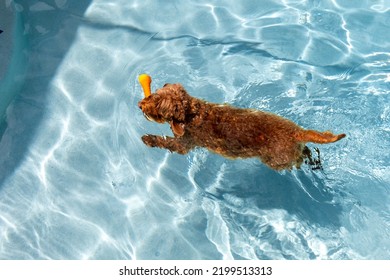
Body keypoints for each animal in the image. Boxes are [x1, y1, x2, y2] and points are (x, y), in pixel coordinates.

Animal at [136, 74, 344, 170]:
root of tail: (296, 131)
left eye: (158, 106)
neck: (192, 113)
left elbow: (167, 142)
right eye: (153, 94)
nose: (140, 105)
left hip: (278, 160)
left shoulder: (185, 143)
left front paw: (148, 139)